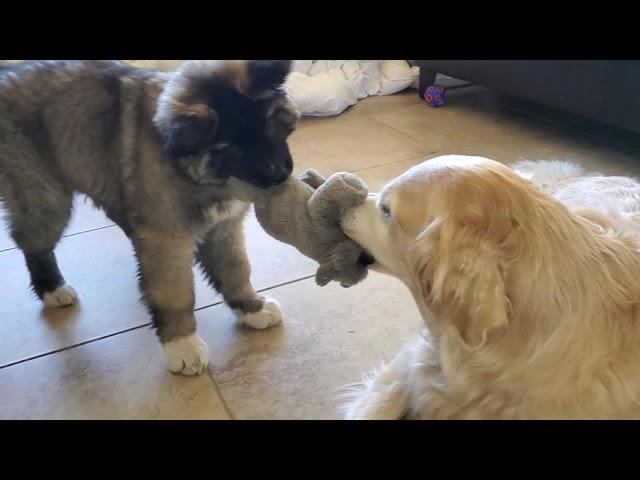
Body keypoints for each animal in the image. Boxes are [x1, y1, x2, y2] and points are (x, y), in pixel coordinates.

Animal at [0, 60, 300, 376]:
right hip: (45, 198)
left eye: (268, 124)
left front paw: (251, 308)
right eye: (232, 147)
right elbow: (175, 291)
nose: (280, 175)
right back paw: (52, 289)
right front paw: (182, 344)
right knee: (33, 244)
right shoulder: (166, 239)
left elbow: (236, 270)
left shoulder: (225, 227)